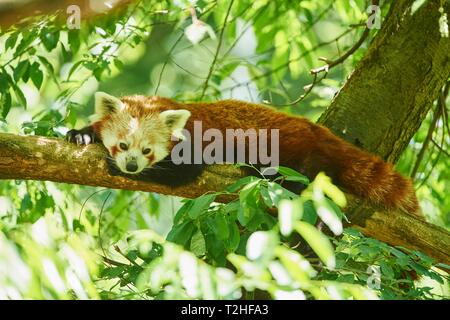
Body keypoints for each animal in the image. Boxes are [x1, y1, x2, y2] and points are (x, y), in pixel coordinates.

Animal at [67, 93, 422, 218]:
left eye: (146, 151)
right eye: (123, 145)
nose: (130, 165)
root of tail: (315, 129)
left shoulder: (194, 142)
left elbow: (183, 172)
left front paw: (119, 171)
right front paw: (82, 133)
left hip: (295, 151)